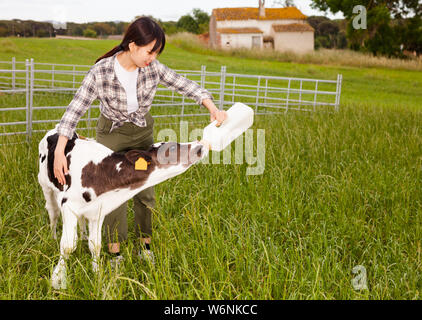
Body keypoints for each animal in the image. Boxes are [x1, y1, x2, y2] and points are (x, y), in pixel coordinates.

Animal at [37, 127, 208, 290]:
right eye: (171, 148)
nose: (199, 145)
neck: (102, 173)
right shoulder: (68, 205)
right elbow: (67, 247)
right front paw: (57, 279)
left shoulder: (98, 210)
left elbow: (95, 245)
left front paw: (97, 274)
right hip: (46, 187)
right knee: (53, 213)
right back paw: (52, 237)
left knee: (81, 220)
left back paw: (83, 236)